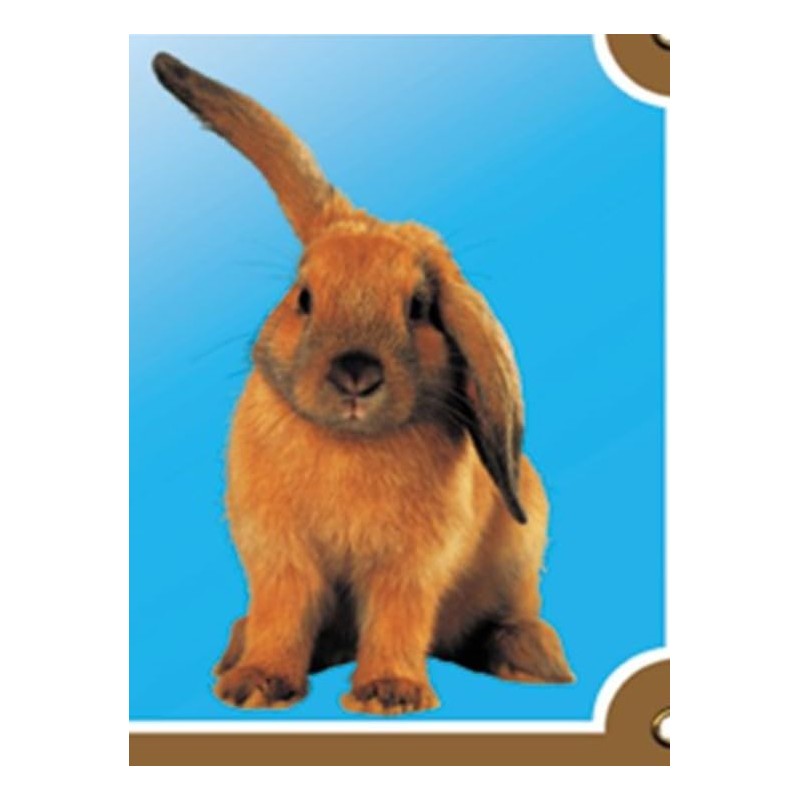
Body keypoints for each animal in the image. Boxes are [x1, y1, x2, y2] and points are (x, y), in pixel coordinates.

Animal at [152, 52, 574, 715]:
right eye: (303, 297)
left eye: (419, 308)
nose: (356, 373)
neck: (350, 445)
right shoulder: (279, 554)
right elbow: (282, 610)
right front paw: (257, 684)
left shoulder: (411, 564)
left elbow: (399, 615)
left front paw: (388, 694)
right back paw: (236, 651)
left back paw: (533, 658)